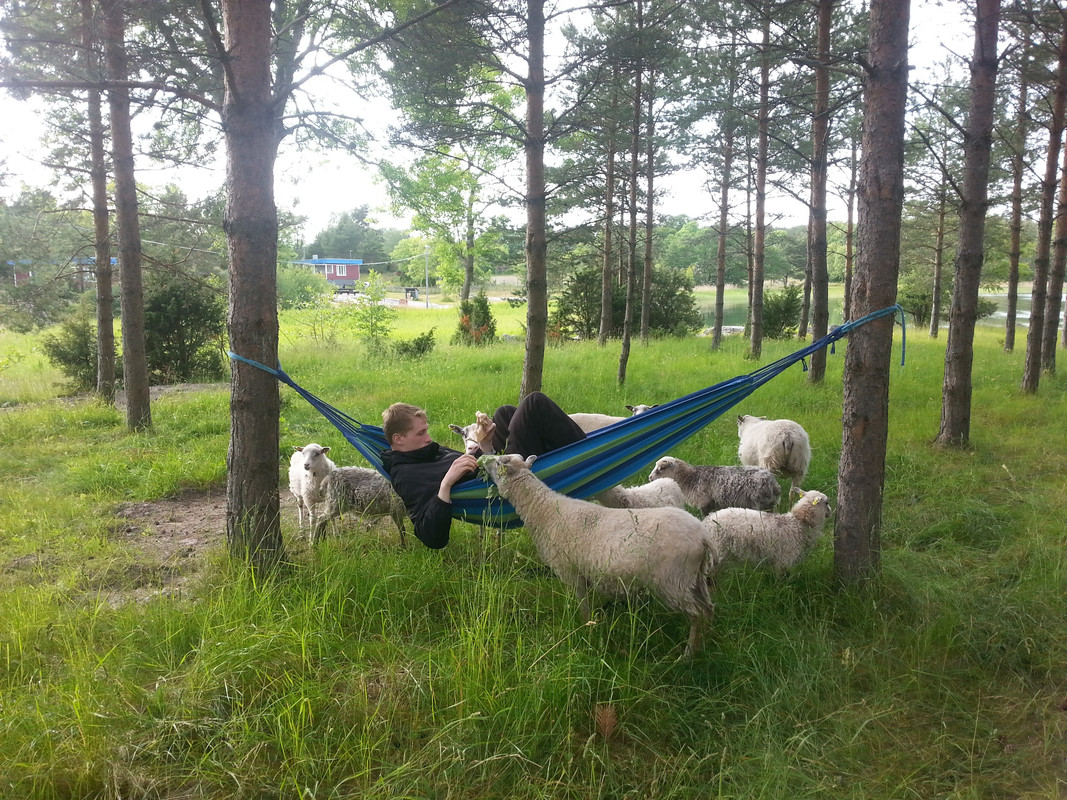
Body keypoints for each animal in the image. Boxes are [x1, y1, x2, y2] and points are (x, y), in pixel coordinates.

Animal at [479, 453, 716, 658]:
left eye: (499, 462)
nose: (482, 459)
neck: (544, 510)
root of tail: (703, 536)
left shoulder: (572, 573)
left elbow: (584, 608)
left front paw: (587, 633)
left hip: (673, 581)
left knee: (697, 614)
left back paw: (688, 655)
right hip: (694, 578)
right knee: (708, 609)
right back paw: (705, 645)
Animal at [702, 489, 831, 577]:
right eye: (826, 502)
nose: (830, 512)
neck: (799, 522)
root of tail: (707, 520)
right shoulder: (784, 560)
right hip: (719, 548)